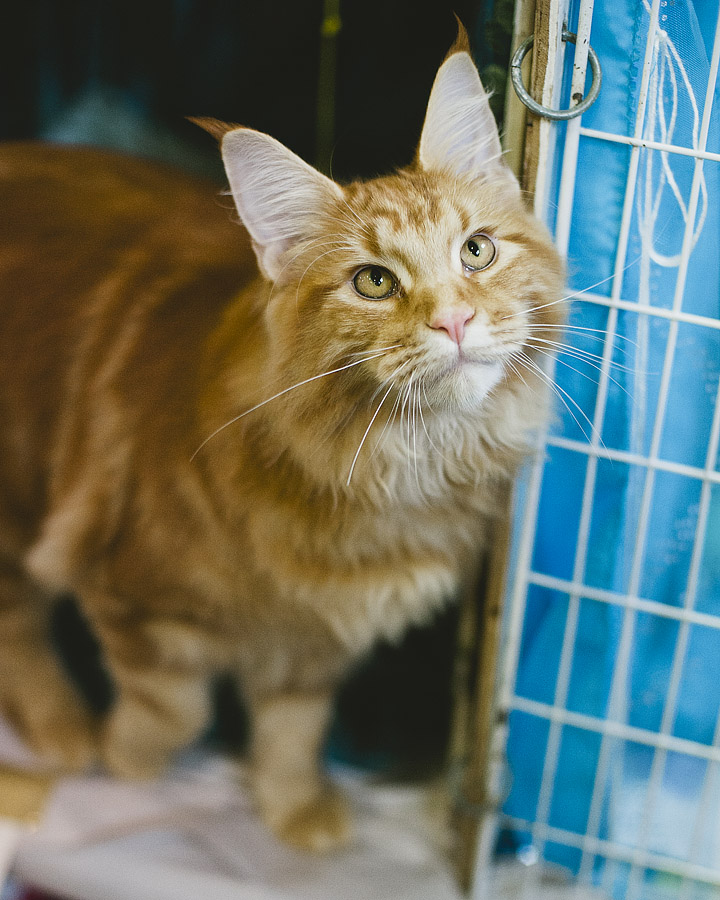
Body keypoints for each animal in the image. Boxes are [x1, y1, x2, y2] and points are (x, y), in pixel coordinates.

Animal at [0, 26, 564, 844]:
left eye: (477, 251)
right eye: (374, 282)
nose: (454, 320)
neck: (404, 467)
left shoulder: (317, 640)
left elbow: (295, 727)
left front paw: (296, 812)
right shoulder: (132, 598)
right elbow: (175, 709)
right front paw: (126, 760)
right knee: (17, 625)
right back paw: (66, 732)